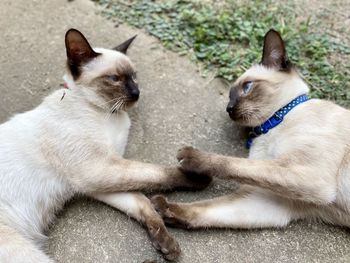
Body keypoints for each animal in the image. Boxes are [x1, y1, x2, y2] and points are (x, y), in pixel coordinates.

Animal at [0, 29, 209, 263]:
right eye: (114, 79)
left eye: (134, 76)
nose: (136, 93)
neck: (110, 115)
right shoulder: (98, 169)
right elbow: (162, 174)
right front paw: (200, 176)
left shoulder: (99, 182)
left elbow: (142, 202)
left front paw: (166, 244)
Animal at [152, 29, 350, 233]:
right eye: (229, 96)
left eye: (247, 87)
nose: (229, 108)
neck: (270, 125)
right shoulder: (272, 198)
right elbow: (206, 208)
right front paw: (160, 210)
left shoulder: (307, 174)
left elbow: (234, 164)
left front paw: (188, 157)